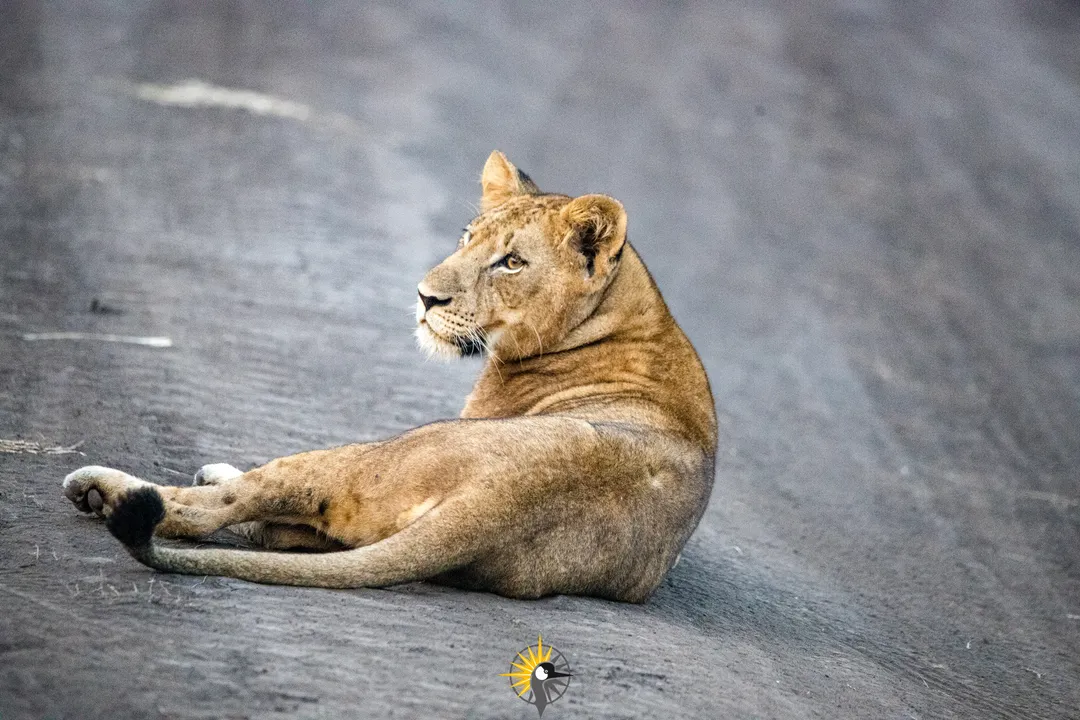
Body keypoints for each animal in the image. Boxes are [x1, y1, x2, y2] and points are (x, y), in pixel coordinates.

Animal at [61, 152, 717, 604]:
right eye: (466, 237)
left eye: (511, 262)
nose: (426, 297)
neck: (626, 314)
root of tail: (500, 500)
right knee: (278, 533)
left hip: (373, 454)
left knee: (216, 509)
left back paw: (107, 490)